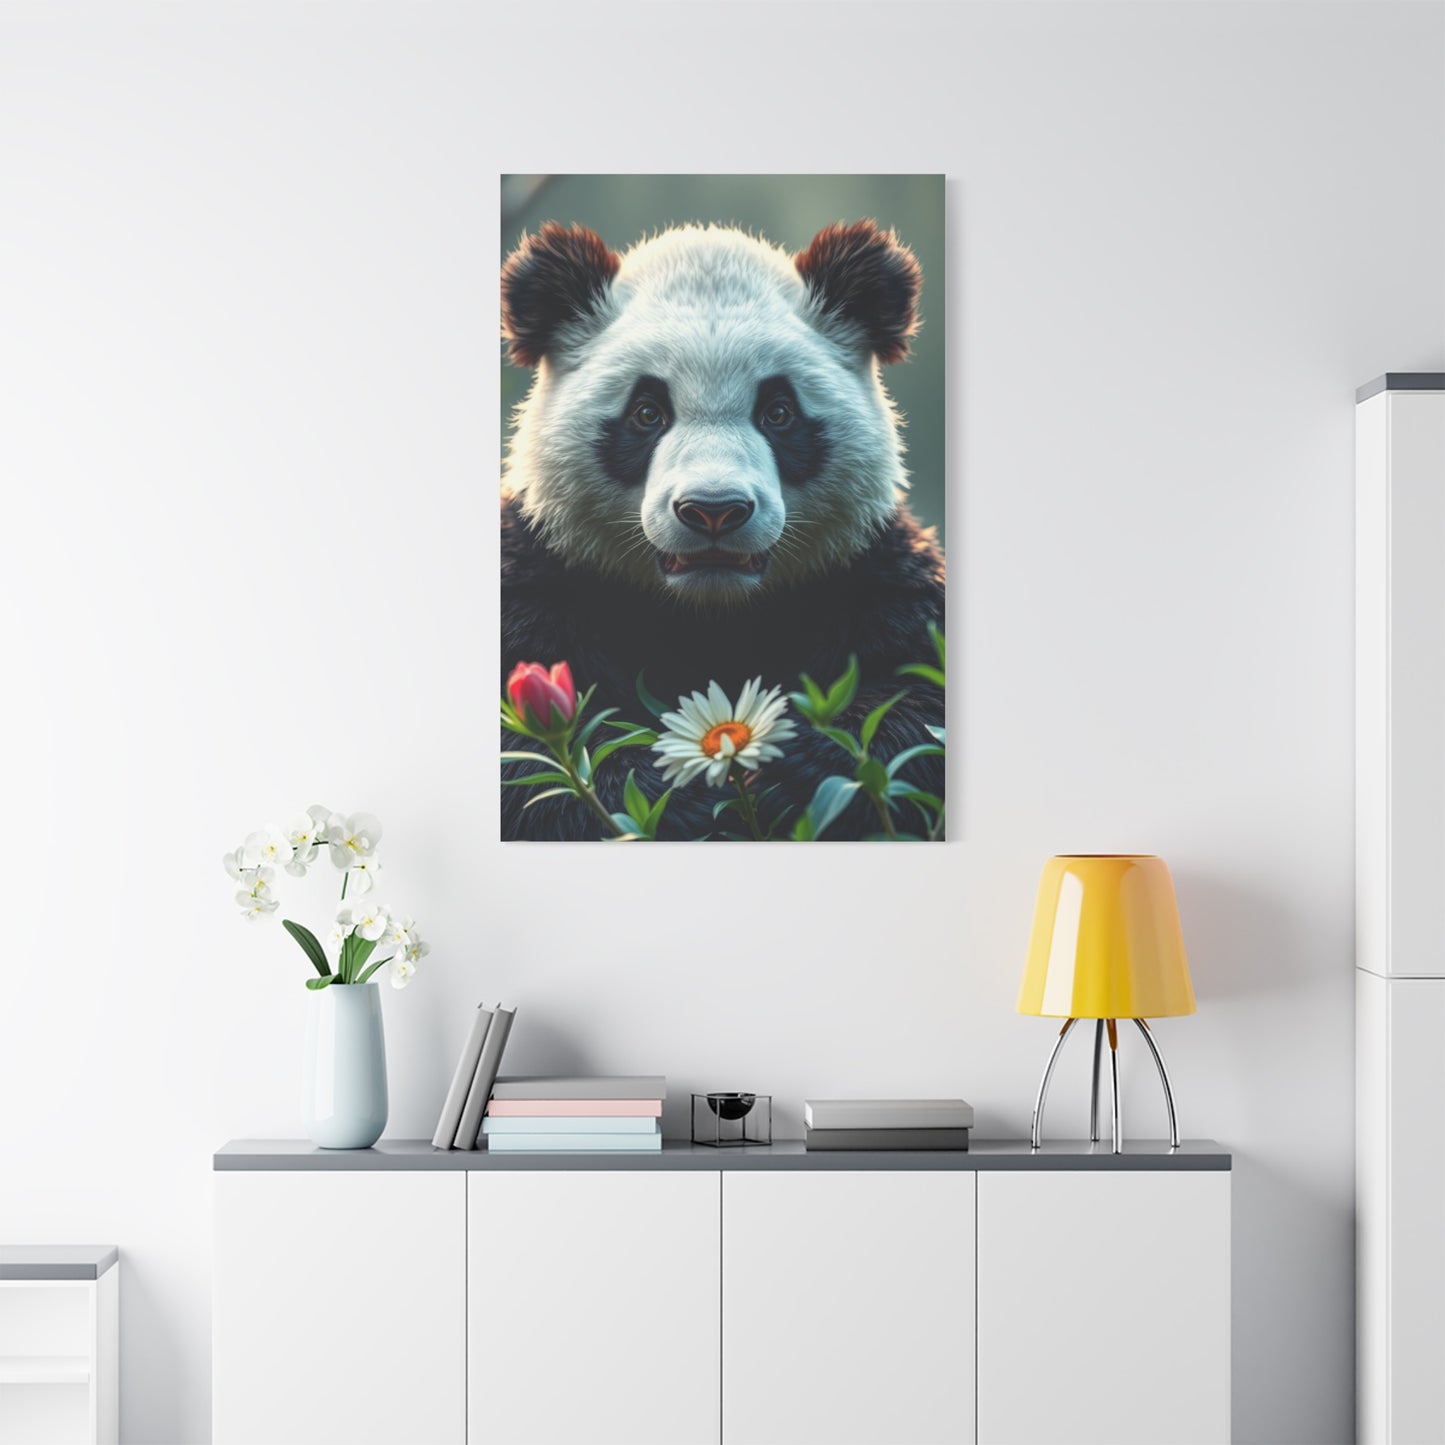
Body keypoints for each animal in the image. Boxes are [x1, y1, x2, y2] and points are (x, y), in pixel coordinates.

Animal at [500, 218, 945, 841]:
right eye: (647, 413)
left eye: (779, 412)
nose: (714, 510)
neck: (711, 615)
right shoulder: (541, 574)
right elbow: (528, 764)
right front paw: (673, 790)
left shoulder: (870, 569)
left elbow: (921, 698)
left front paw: (796, 773)